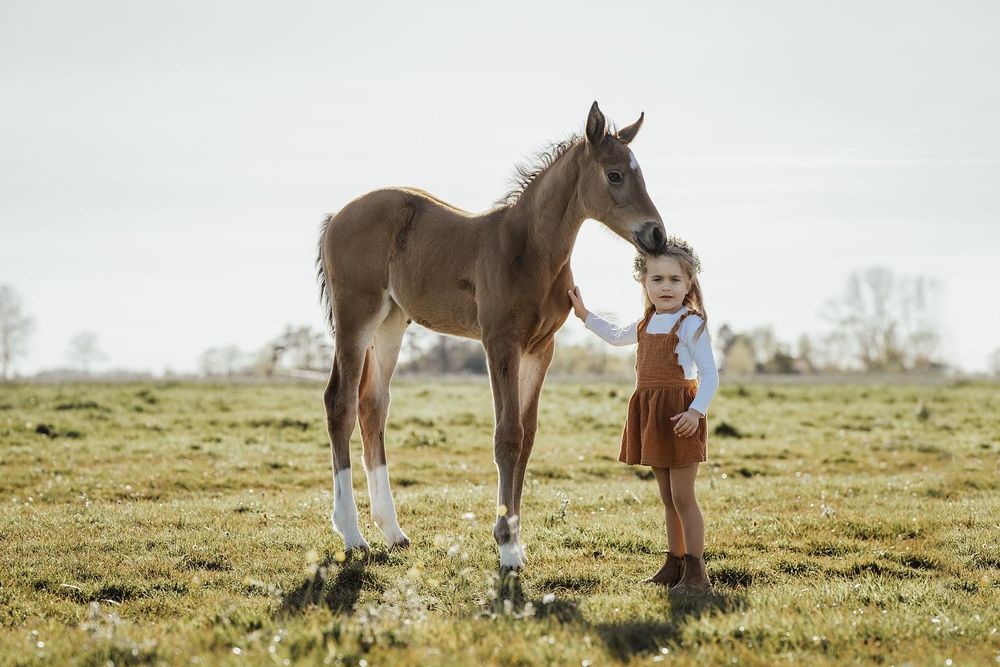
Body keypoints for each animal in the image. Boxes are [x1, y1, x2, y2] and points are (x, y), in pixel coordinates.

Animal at [316, 102, 665, 568]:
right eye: (614, 175)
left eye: (638, 173)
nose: (657, 234)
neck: (529, 247)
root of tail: (337, 215)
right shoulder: (500, 342)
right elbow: (508, 437)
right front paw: (507, 548)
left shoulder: (540, 349)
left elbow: (527, 436)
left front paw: (516, 541)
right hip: (357, 316)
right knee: (340, 403)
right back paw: (352, 534)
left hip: (390, 322)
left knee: (373, 405)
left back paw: (393, 532)